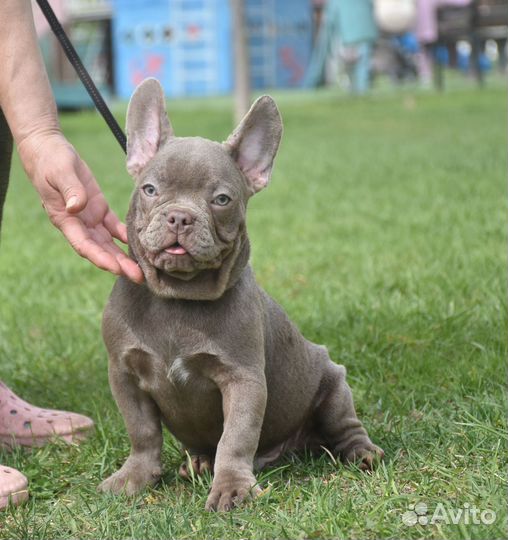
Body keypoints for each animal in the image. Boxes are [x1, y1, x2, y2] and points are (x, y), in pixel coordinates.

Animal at [99, 77, 382, 510]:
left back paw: (362, 452)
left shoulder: (242, 380)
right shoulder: (125, 373)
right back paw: (198, 463)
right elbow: (142, 432)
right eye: (149, 189)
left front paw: (232, 487)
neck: (179, 298)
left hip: (333, 384)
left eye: (221, 199)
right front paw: (135, 476)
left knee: (345, 426)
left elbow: (236, 437)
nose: (179, 216)